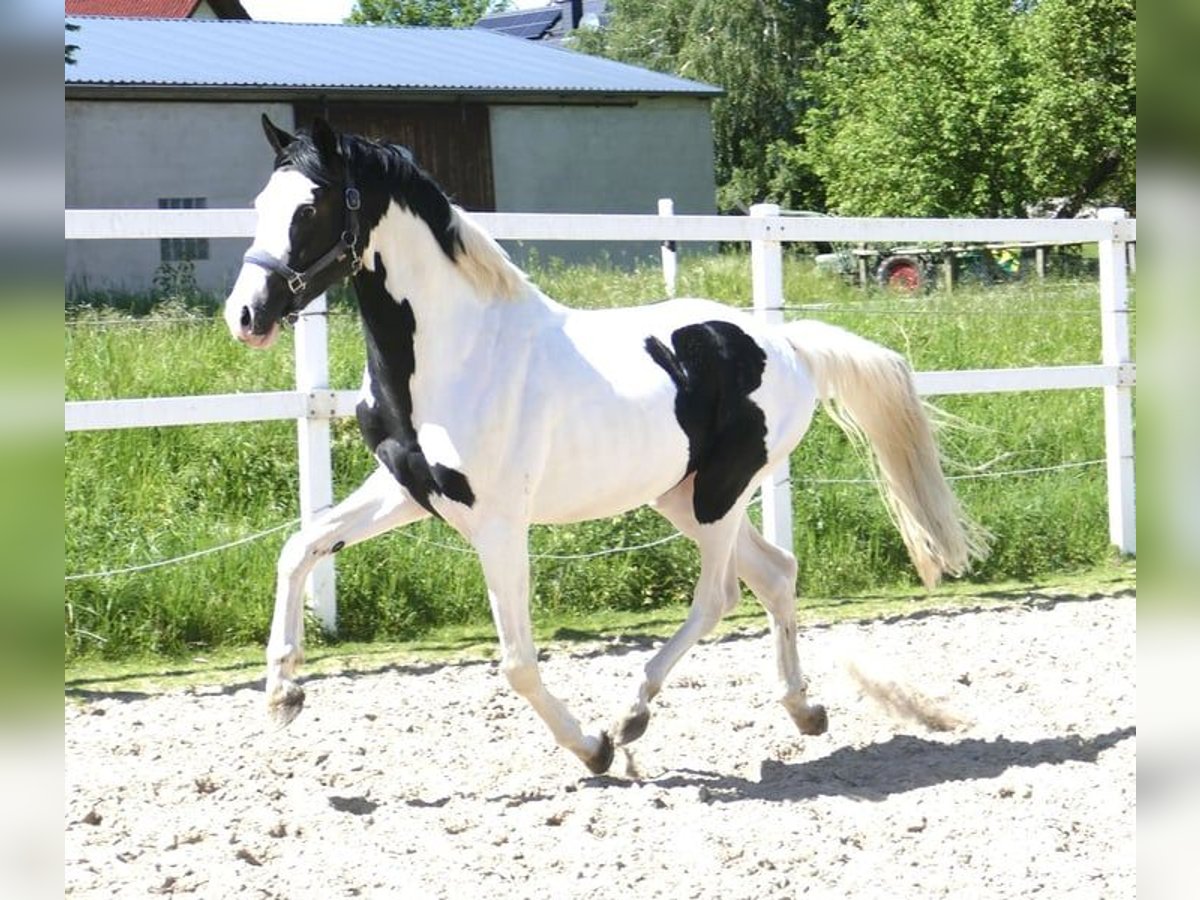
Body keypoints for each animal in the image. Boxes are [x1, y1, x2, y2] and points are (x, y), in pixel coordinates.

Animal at [223, 112, 984, 777]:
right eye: (259, 202)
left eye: (311, 206)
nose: (247, 315)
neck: (456, 353)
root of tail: (788, 343)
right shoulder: (408, 492)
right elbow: (301, 546)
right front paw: (283, 693)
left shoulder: (498, 522)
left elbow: (516, 660)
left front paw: (591, 748)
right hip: (682, 495)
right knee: (775, 573)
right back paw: (804, 711)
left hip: (720, 493)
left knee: (719, 596)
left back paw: (629, 717)